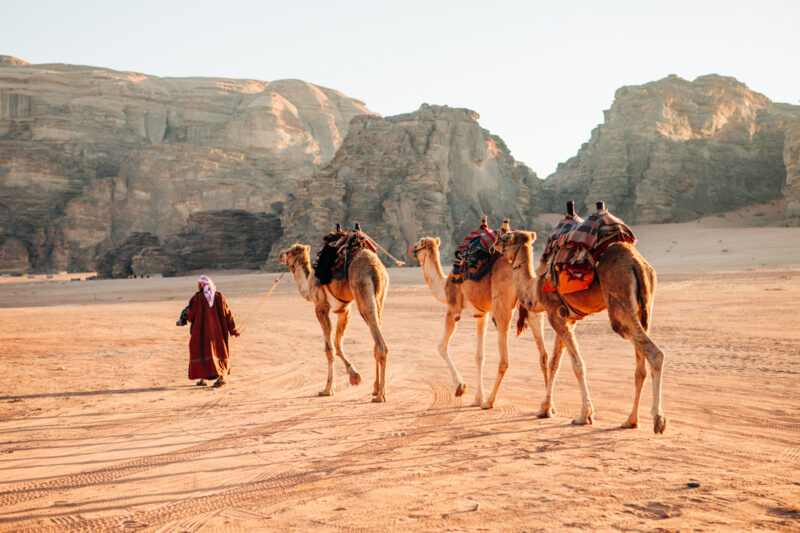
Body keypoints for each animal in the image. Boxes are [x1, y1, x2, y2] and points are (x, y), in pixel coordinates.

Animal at [496, 203, 664, 432]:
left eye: (505, 238)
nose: (494, 244)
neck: (536, 288)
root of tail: (636, 263)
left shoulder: (554, 314)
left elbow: (577, 364)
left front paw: (584, 415)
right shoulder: (567, 317)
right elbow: (555, 363)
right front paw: (544, 409)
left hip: (619, 300)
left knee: (654, 353)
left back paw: (658, 420)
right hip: (644, 306)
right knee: (641, 366)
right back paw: (630, 420)